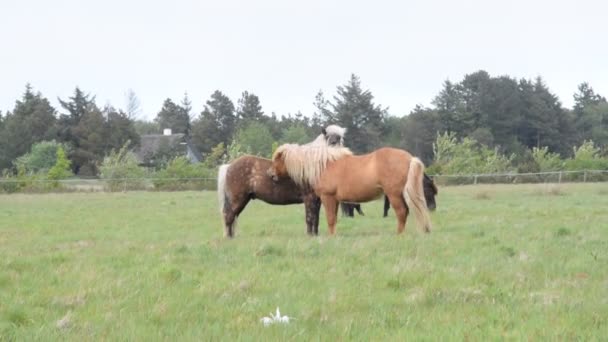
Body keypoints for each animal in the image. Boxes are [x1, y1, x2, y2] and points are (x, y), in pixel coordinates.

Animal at [270, 144, 432, 235]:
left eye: (277, 159)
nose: (270, 174)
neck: (324, 165)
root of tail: (409, 158)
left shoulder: (328, 197)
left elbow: (330, 219)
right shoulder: (335, 200)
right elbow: (334, 219)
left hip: (394, 195)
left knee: (402, 213)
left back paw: (399, 235)